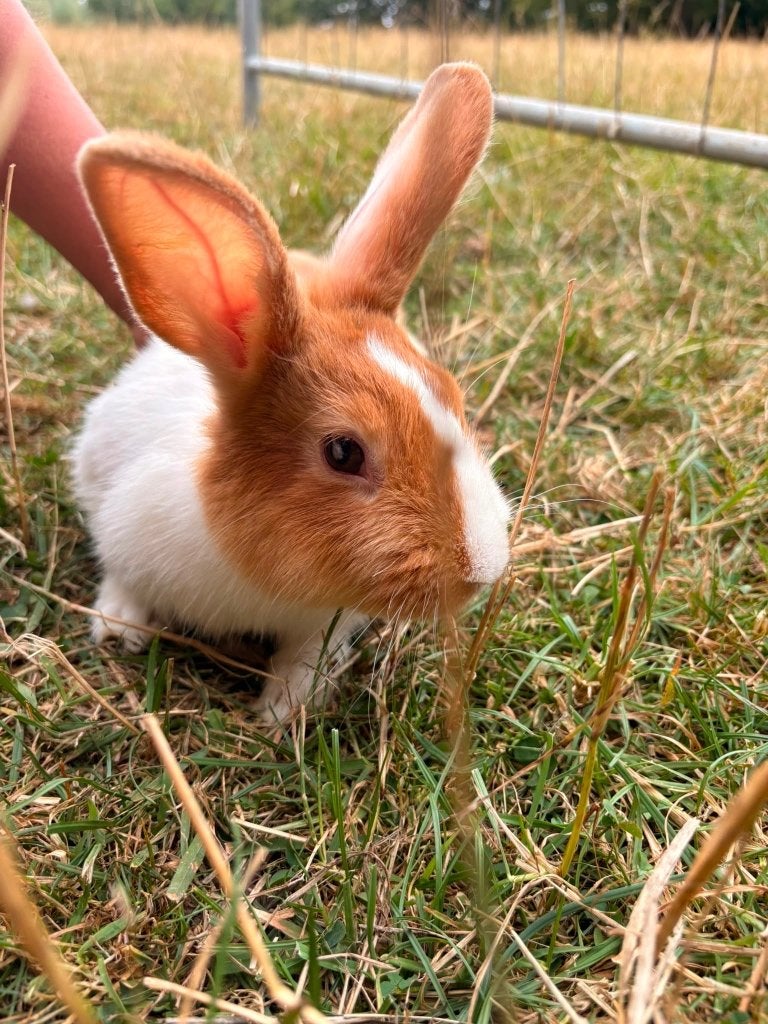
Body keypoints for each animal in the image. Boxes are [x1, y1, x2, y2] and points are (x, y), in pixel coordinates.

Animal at [72, 62, 510, 725]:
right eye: (343, 452)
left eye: (453, 395)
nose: (484, 568)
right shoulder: (124, 526)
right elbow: (122, 574)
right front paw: (118, 625)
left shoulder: (321, 621)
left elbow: (304, 657)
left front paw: (283, 712)